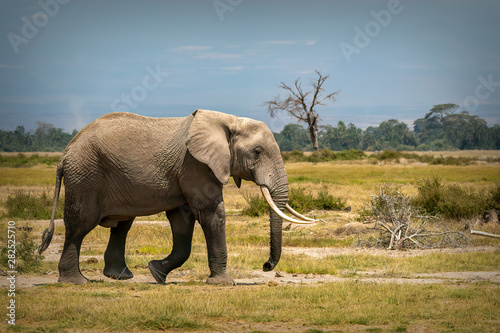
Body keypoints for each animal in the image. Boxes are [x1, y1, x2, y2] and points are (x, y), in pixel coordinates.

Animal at [39, 110, 316, 284]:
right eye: (257, 152)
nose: (266, 265)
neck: (228, 120)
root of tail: (65, 153)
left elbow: (183, 219)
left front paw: (156, 273)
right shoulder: (195, 164)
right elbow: (211, 212)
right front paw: (224, 283)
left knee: (122, 224)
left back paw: (120, 277)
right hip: (85, 176)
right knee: (79, 225)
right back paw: (76, 281)